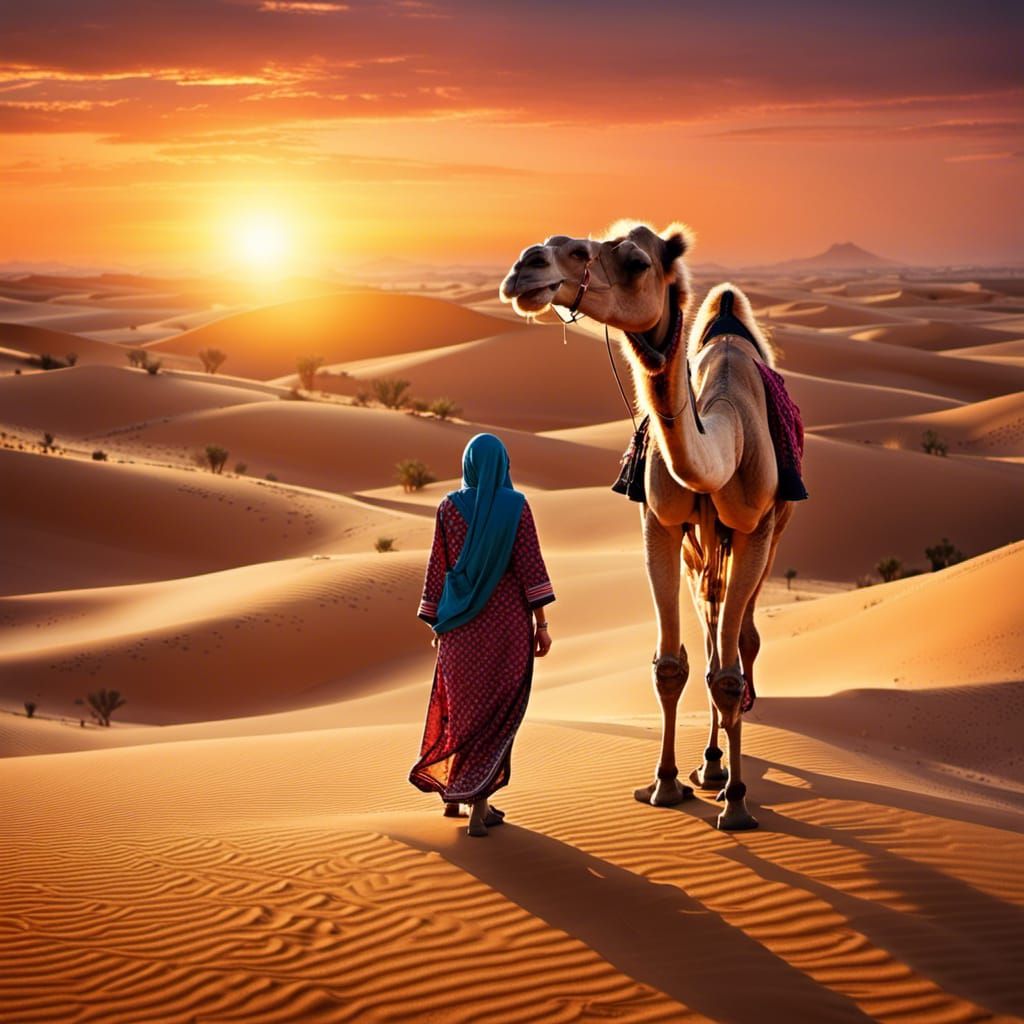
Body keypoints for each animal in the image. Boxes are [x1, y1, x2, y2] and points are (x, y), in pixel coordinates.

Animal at [500, 223, 798, 830]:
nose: (526, 267)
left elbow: (731, 668)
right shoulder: (659, 524)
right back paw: (709, 762)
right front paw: (665, 783)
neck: (724, 441)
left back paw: (725, 768)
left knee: (741, 641)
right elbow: (670, 665)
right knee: (710, 630)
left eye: (638, 262)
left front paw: (737, 803)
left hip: (770, 533)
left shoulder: (754, 530)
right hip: (698, 548)